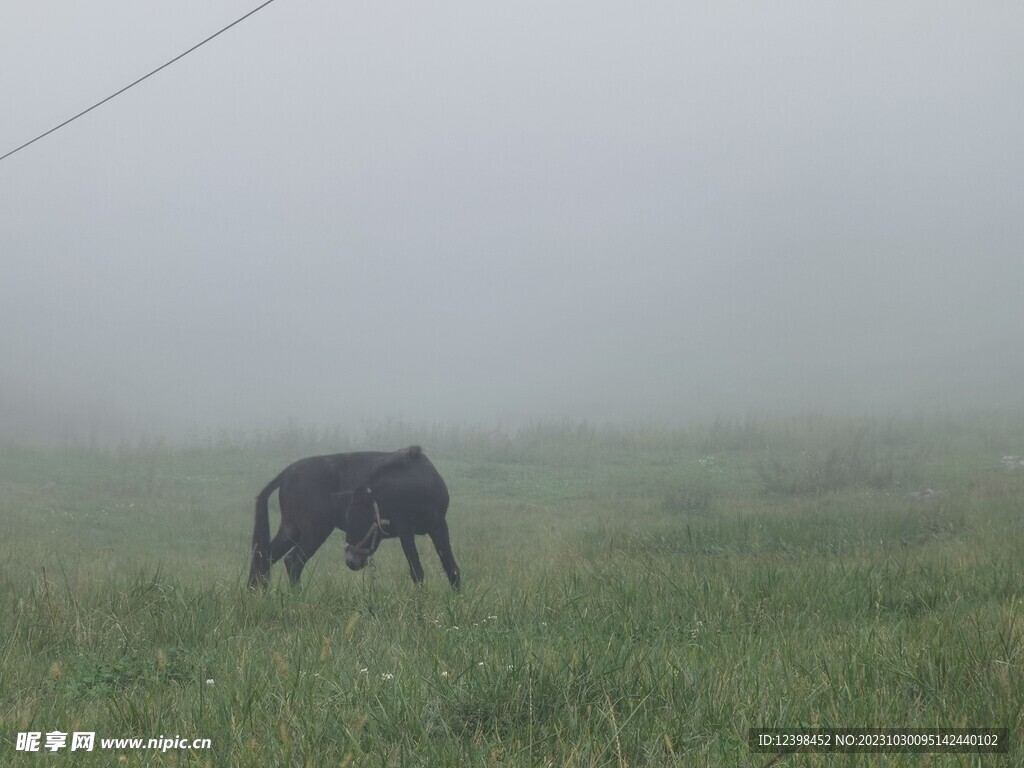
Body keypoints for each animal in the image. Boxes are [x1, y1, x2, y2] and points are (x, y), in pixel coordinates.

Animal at [247, 444, 460, 589]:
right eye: (350, 520)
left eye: (364, 522)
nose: (351, 562)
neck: (417, 484)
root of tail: (287, 474)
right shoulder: (405, 529)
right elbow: (417, 570)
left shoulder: (439, 526)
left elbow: (452, 567)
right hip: (314, 531)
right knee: (293, 561)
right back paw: (297, 597)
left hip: (291, 529)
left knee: (264, 557)